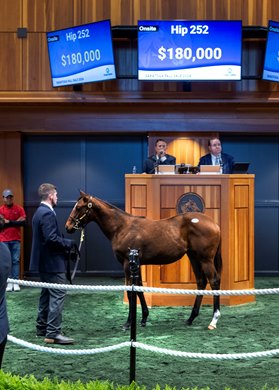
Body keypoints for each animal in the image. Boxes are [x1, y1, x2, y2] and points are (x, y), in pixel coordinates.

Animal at [65, 190, 223, 330]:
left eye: (78, 208)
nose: (68, 227)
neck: (122, 227)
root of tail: (215, 224)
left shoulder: (127, 264)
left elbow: (130, 292)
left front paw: (128, 323)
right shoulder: (136, 264)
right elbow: (139, 288)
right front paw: (144, 318)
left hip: (205, 259)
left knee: (214, 281)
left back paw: (214, 320)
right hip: (194, 257)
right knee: (201, 282)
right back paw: (191, 318)